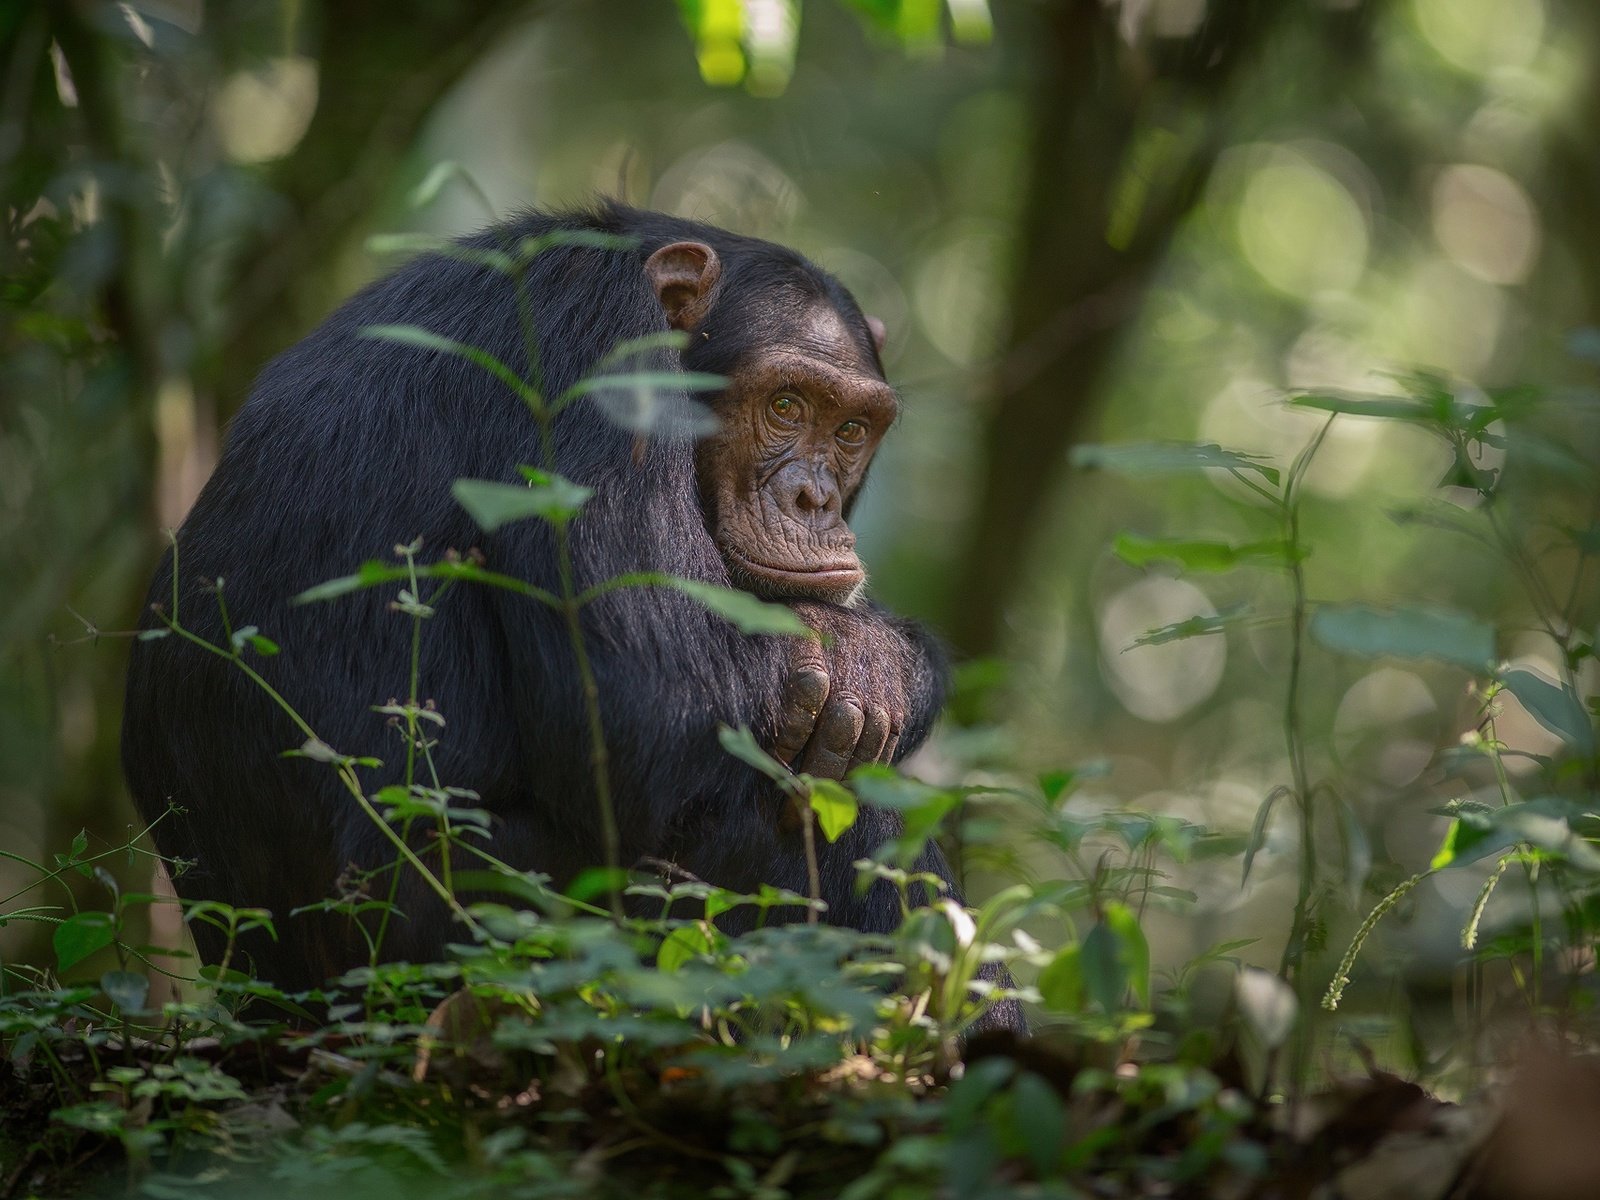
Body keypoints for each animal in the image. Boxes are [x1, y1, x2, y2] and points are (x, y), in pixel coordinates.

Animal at [124, 202, 1024, 1030]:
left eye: (851, 428)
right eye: (786, 405)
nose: (816, 498)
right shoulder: (589, 350)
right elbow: (649, 698)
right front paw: (871, 662)